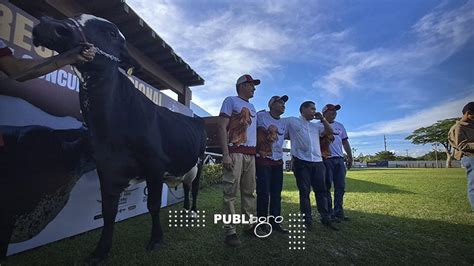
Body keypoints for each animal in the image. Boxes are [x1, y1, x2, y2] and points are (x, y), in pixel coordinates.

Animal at [31, 15, 206, 264]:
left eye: (112, 33)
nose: (49, 26)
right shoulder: (106, 169)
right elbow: (108, 212)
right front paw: (100, 251)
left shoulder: (155, 166)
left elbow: (153, 205)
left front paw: (156, 239)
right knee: (186, 186)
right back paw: (183, 211)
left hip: (200, 162)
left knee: (195, 187)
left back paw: (191, 212)